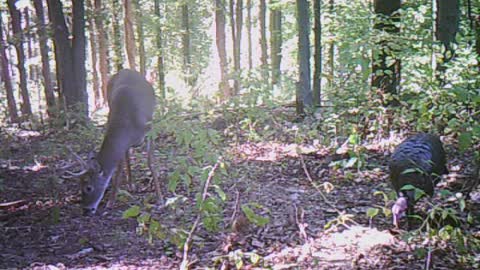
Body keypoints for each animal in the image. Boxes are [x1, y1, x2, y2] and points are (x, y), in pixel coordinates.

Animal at [67, 69, 161, 215]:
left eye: (88, 187)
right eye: (79, 185)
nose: (86, 210)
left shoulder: (150, 130)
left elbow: (150, 162)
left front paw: (160, 198)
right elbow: (119, 169)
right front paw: (111, 201)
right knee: (127, 157)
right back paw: (131, 184)